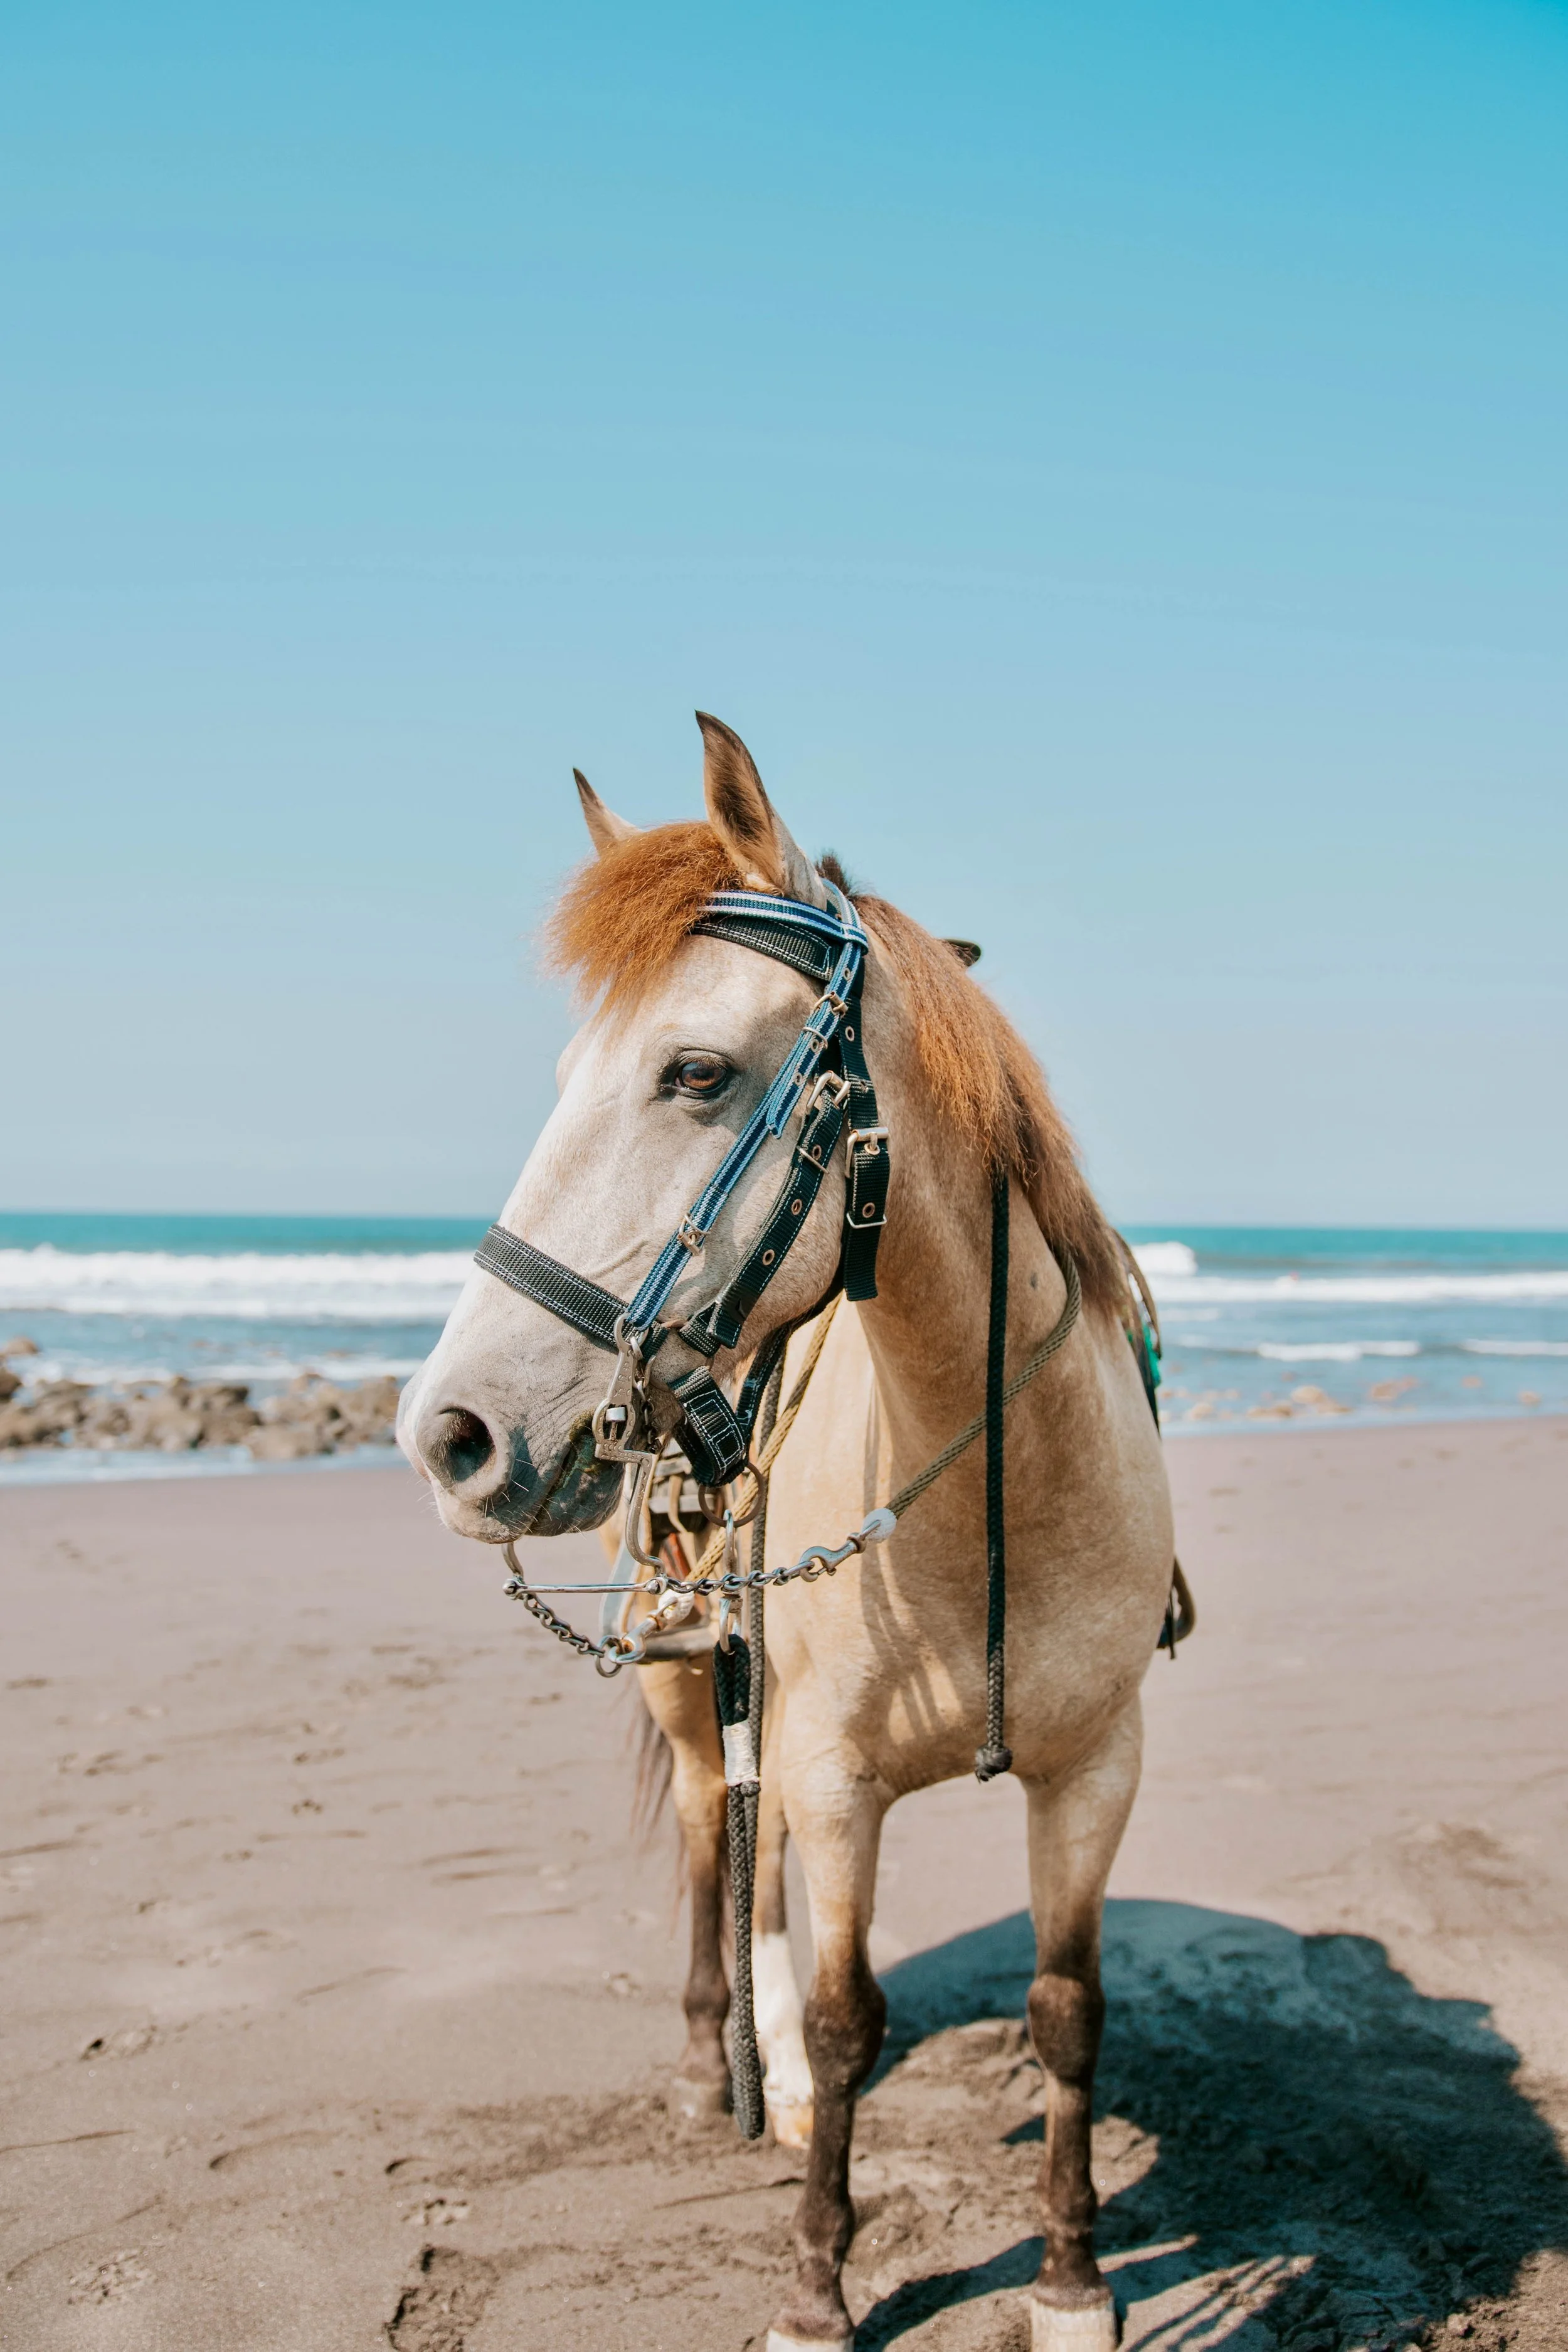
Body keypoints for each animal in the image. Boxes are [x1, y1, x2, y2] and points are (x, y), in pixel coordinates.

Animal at [398, 713, 1175, 2352]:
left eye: (694, 1071)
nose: (451, 1435)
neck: (994, 1490)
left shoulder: (1095, 1766)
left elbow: (1067, 2008)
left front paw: (1072, 2279)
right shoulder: (830, 1770)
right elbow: (840, 2005)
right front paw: (818, 2285)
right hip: (696, 1689)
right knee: (715, 1841)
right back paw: (719, 2066)